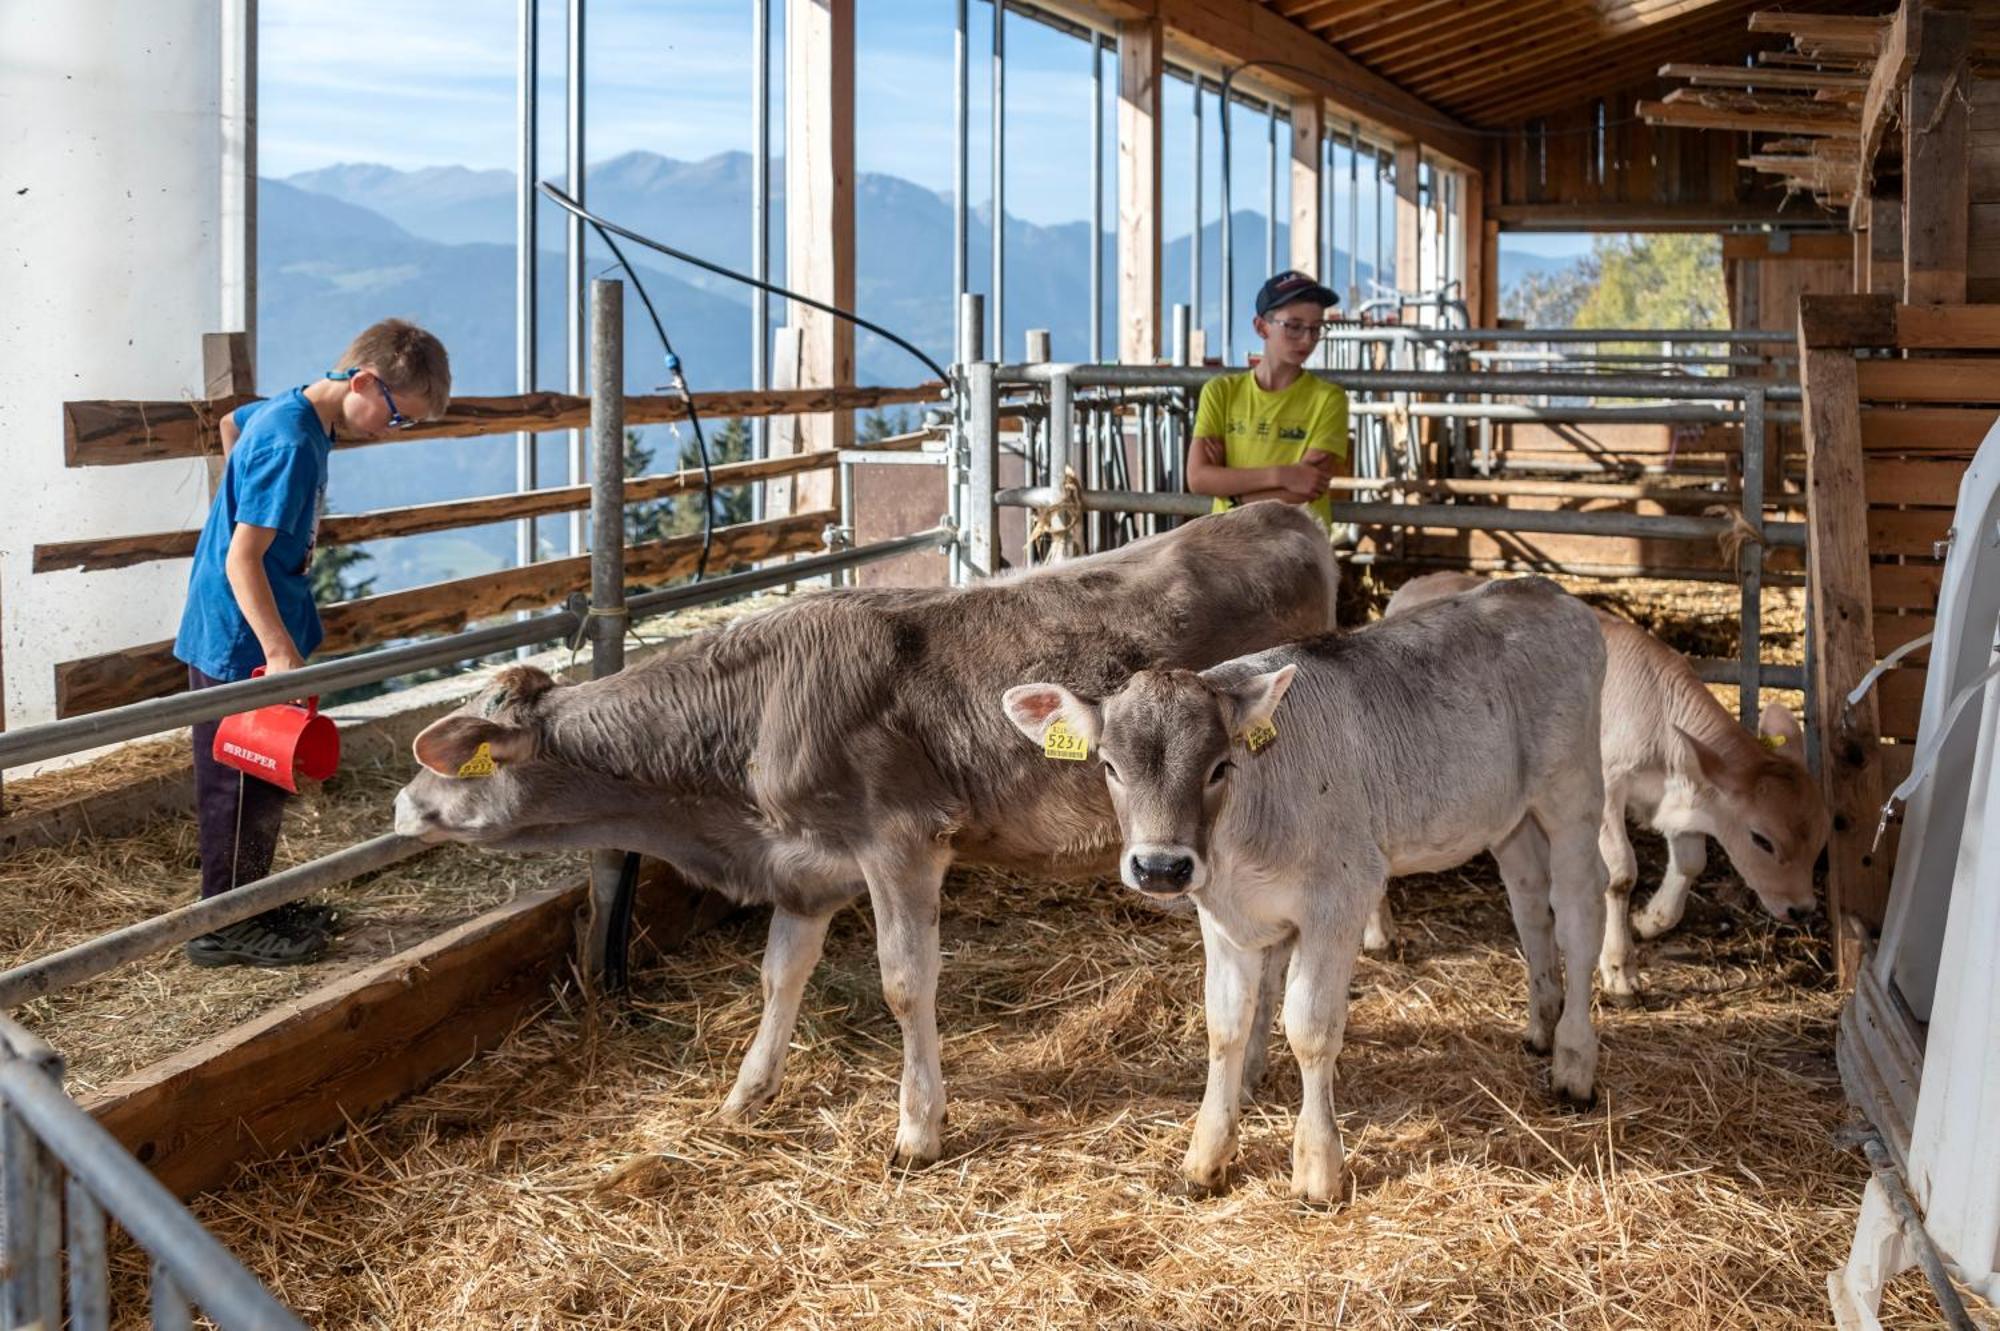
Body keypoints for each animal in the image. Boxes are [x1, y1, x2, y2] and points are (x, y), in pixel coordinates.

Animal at [388, 497, 1336, 1159]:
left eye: (455, 753)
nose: (402, 803)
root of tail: (1281, 514)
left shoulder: (902, 839)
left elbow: (905, 981)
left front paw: (918, 1127)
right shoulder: (804, 868)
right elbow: (780, 974)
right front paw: (747, 1092)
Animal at [1000, 575, 1608, 1199]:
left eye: (1220, 767)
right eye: (1110, 767)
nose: (1161, 868)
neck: (1243, 842)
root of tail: (1539, 587)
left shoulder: (1340, 898)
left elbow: (1310, 1028)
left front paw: (1317, 1168)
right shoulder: (1223, 914)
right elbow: (1225, 1024)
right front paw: (1206, 1155)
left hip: (1574, 791)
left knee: (1580, 913)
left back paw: (1573, 1062)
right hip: (1511, 817)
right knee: (1530, 902)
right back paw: (1541, 1024)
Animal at [1376, 571, 1832, 995]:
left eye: (1819, 840)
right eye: (1762, 840)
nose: (1802, 909)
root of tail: (1417, 585)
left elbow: (1691, 861)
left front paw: (1650, 920)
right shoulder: (1608, 784)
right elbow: (1621, 872)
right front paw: (1619, 970)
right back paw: (1379, 935)